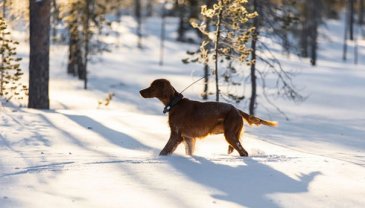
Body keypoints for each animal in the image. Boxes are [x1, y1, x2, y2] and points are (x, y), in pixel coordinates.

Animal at [139, 79, 276, 157]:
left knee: (244, 152)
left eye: (152, 86)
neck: (175, 103)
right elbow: (189, 152)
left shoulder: (176, 135)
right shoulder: (188, 138)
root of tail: (237, 110)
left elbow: (164, 151)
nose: (140, 91)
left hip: (229, 134)